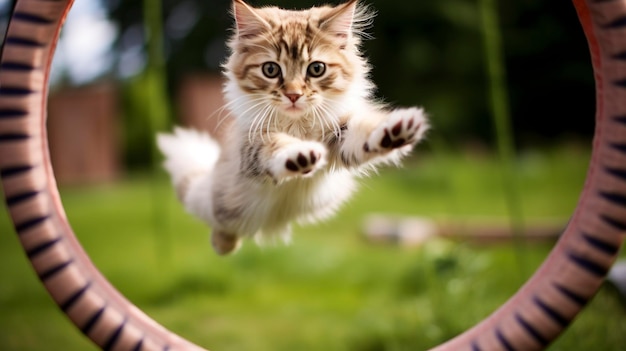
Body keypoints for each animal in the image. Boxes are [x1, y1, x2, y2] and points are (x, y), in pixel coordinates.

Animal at [157, 0, 428, 254]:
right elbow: (278, 146)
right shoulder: (253, 143)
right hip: (221, 202)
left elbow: (366, 131)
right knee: (221, 225)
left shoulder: (340, 131)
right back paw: (224, 243)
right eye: (271, 69)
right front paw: (300, 156)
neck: (297, 125)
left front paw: (395, 132)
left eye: (316, 69)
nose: (294, 95)